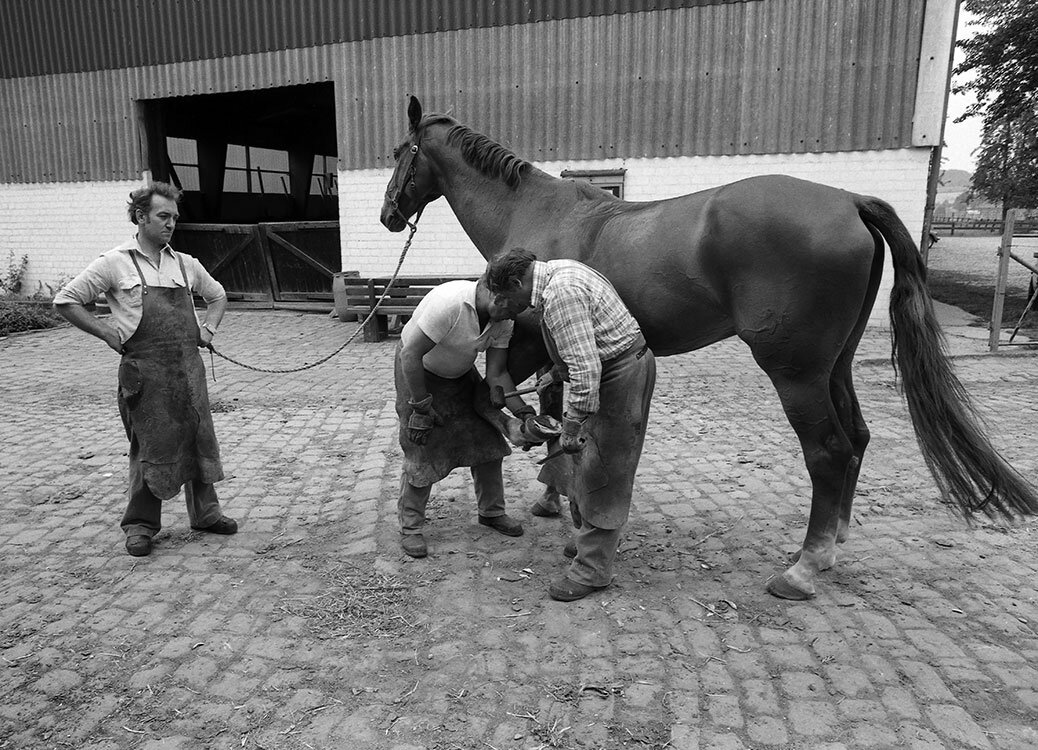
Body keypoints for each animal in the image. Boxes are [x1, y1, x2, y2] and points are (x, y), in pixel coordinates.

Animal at [381, 95, 1038, 597]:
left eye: (398, 154)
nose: (389, 213)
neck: (537, 213)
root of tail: (849, 200)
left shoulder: (546, 343)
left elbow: (548, 415)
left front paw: (554, 500)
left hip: (796, 373)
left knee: (829, 451)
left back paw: (803, 569)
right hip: (836, 365)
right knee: (856, 439)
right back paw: (833, 544)